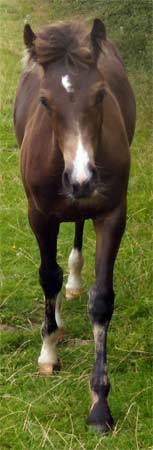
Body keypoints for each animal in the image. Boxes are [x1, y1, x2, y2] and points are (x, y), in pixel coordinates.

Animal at [13, 17, 136, 432]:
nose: (81, 180)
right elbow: (46, 277)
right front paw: (49, 351)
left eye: (99, 95)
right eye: (45, 101)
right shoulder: (39, 215)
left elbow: (101, 301)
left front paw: (99, 405)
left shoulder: (112, 214)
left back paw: (76, 279)